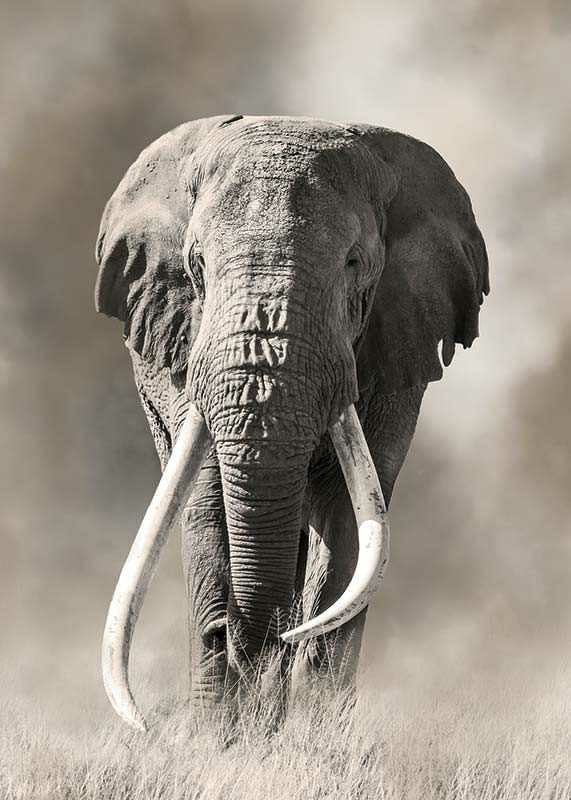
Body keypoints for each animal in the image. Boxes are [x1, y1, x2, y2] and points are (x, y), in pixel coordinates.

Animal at [95, 115, 489, 731]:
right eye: (197, 266)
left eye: (354, 265)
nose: (240, 635)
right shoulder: (184, 347)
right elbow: (206, 500)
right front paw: (219, 733)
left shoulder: (395, 350)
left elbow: (351, 519)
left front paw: (311, 729)